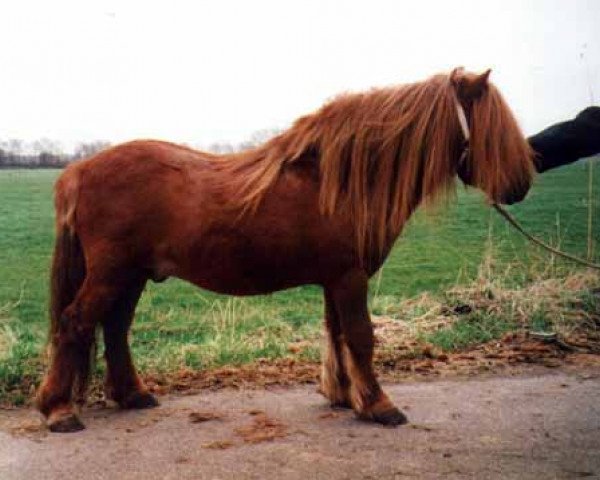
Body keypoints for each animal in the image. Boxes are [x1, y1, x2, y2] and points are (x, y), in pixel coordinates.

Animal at [37, 69, 536, 434]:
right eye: (493, 130)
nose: (520, 186)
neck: (341, 180)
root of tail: (79, 170)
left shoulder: (336, 280)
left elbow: (338, 334)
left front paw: (345, 397)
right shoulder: (350, 278)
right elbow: (360, 336)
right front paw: (379, 404)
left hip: (132, 275)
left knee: (115, 328)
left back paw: (132, 395)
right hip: (112, 273)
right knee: (76, 322)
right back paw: (59, 410)